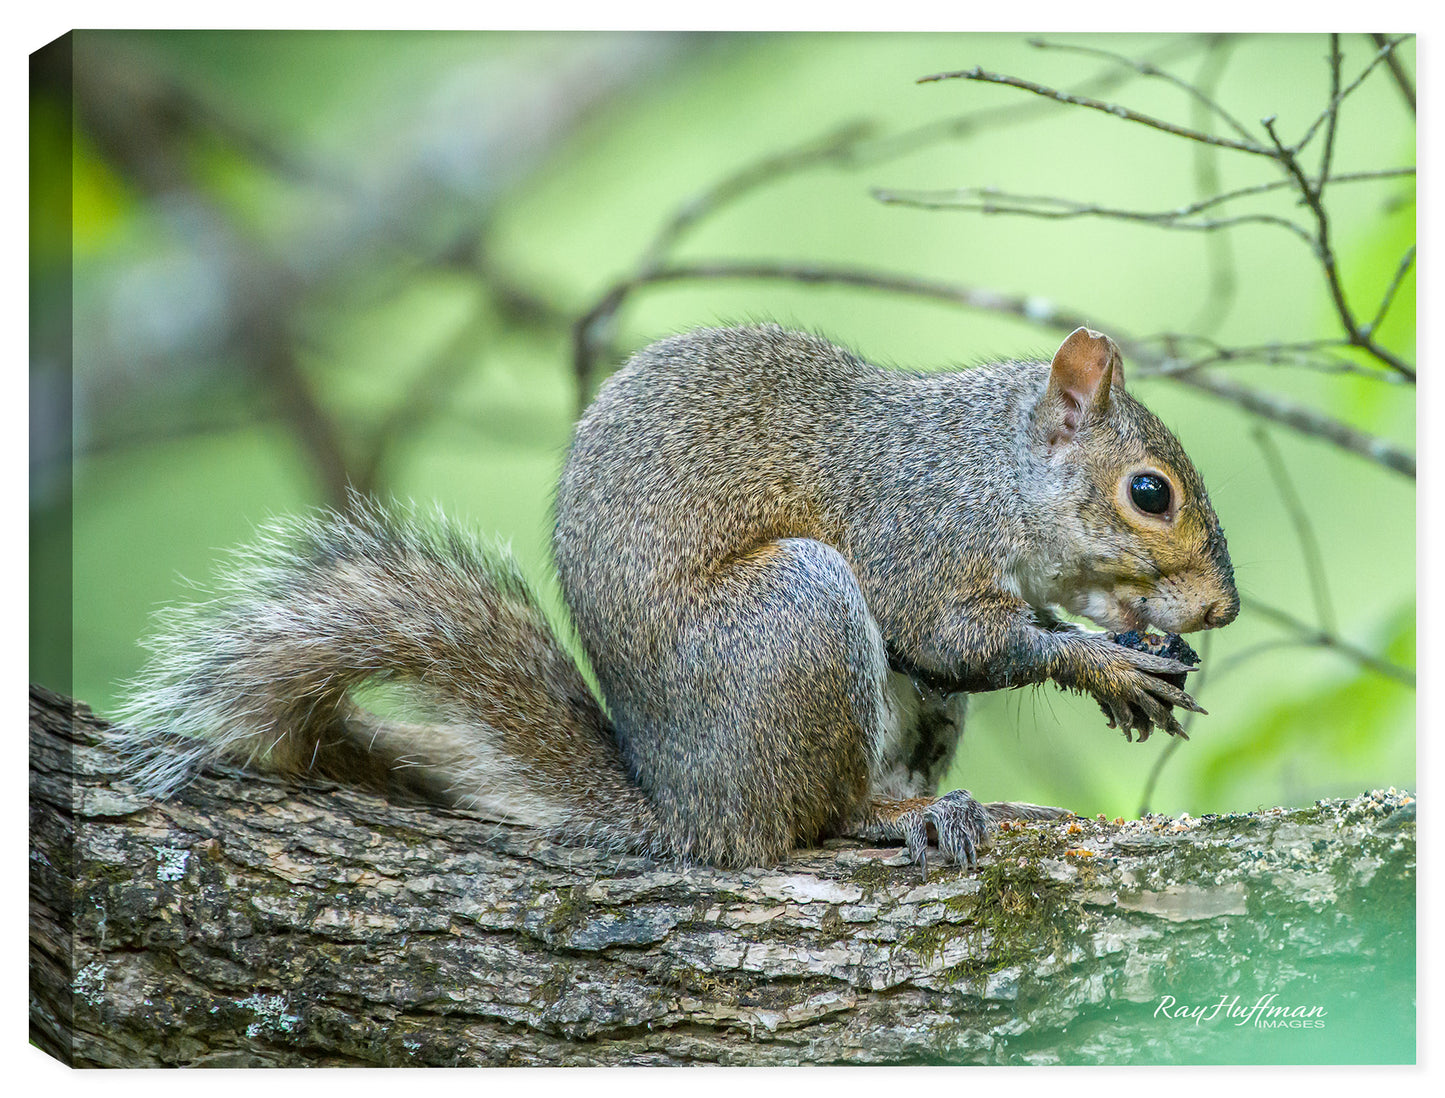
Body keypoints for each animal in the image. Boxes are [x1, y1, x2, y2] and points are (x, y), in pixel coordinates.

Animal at [115, 323, 1238, 877]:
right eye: (1149, 493)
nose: (1220, 611)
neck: (989, 470)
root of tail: (687, 807)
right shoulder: (910, 533)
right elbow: (949, 633)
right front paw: (1104, 663)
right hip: (796, 618)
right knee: (804, 823)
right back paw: (891, 820)